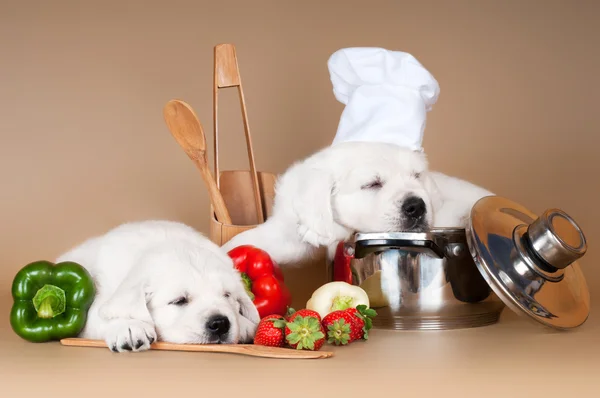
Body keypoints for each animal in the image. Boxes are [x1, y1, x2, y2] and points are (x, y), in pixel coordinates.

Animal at [56, 219, 260, 352]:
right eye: (179, 301)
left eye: (227, 295)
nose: (220, 323)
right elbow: (102, 313)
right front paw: (129, 327)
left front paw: (244, 323)